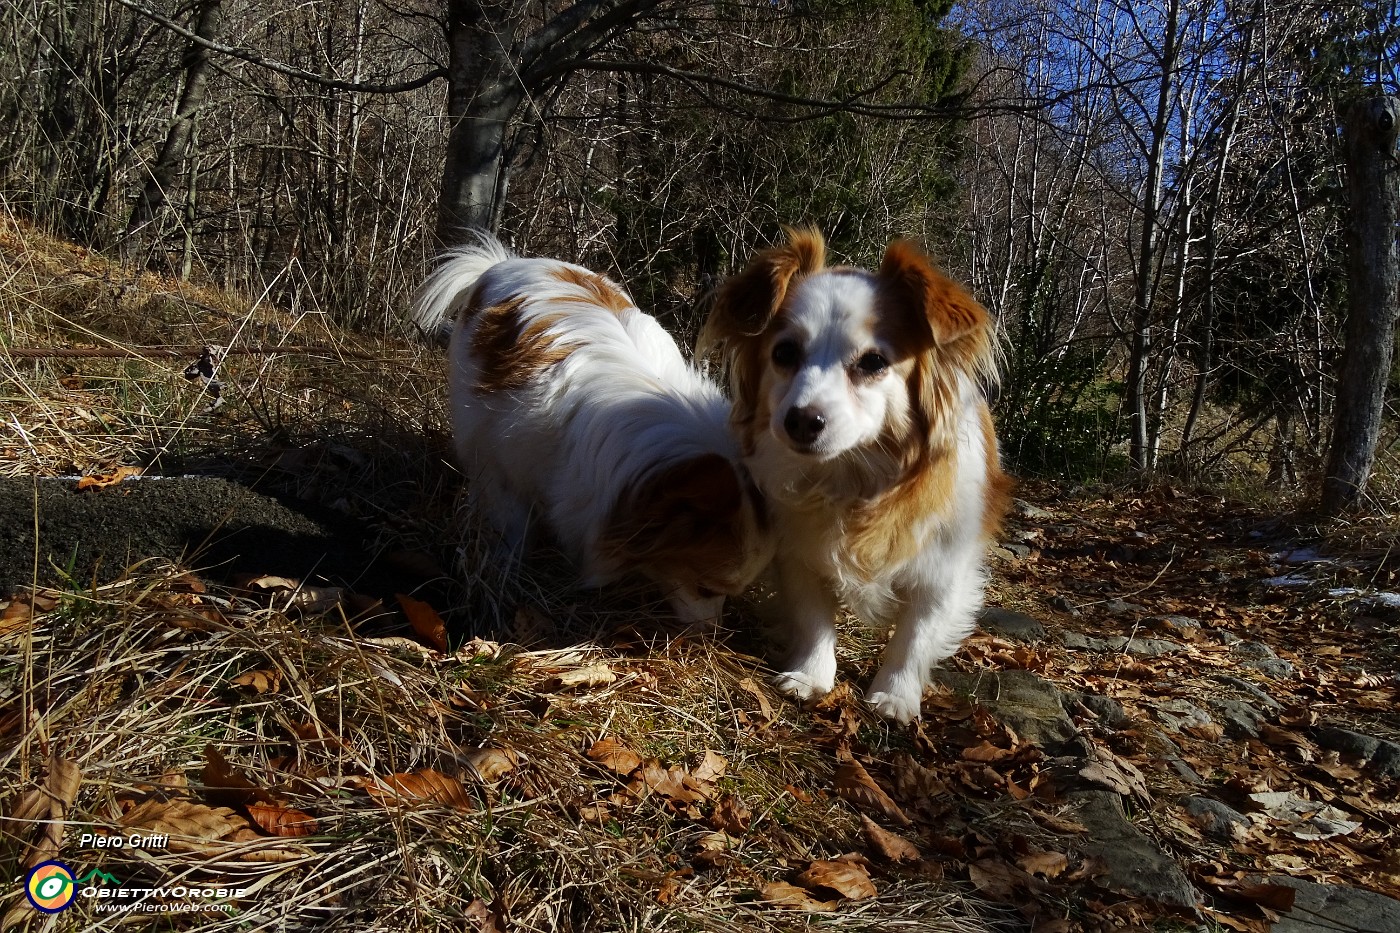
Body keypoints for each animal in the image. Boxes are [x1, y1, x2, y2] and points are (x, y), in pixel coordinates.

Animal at [414, 232, 778, 624]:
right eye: (706, 589)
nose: (708, 632)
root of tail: (505, 262)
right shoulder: (500, 468)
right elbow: (510, 526)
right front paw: (504, 568)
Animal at [697, 228, 1008, 722]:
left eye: (874, 363)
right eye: (784, 353)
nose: (801, 420)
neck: (851, 477)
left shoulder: (943, 569)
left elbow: (915, 634)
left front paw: (895, 696)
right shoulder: (798, 553)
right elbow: (813, 616)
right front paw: (811, 677)